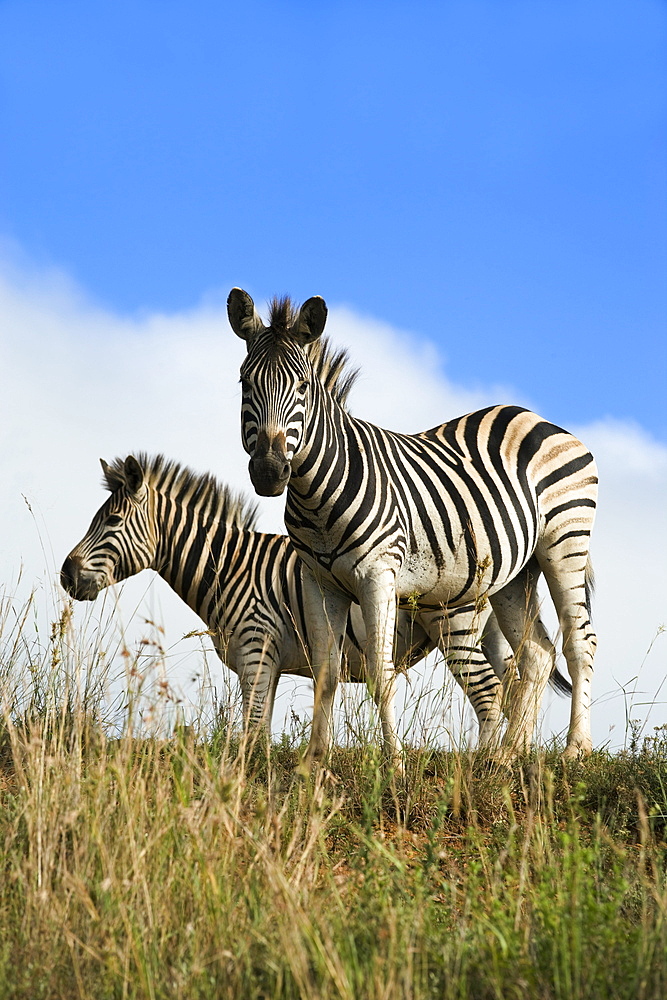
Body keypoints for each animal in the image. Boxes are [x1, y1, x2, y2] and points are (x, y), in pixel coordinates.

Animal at [231, 288, 600, 764]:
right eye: (245, 383)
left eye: (303, 387)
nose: (269, 472)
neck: (317, 496)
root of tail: (536, 418)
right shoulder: (318, 581)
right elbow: (326, 671)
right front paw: (312, 763)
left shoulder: (378, 574)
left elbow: (380, 671)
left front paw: (395, 763)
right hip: (515, 573)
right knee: (536, 654)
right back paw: (505, 757)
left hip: (564, 541)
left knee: (579, 642)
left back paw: (575, 750)